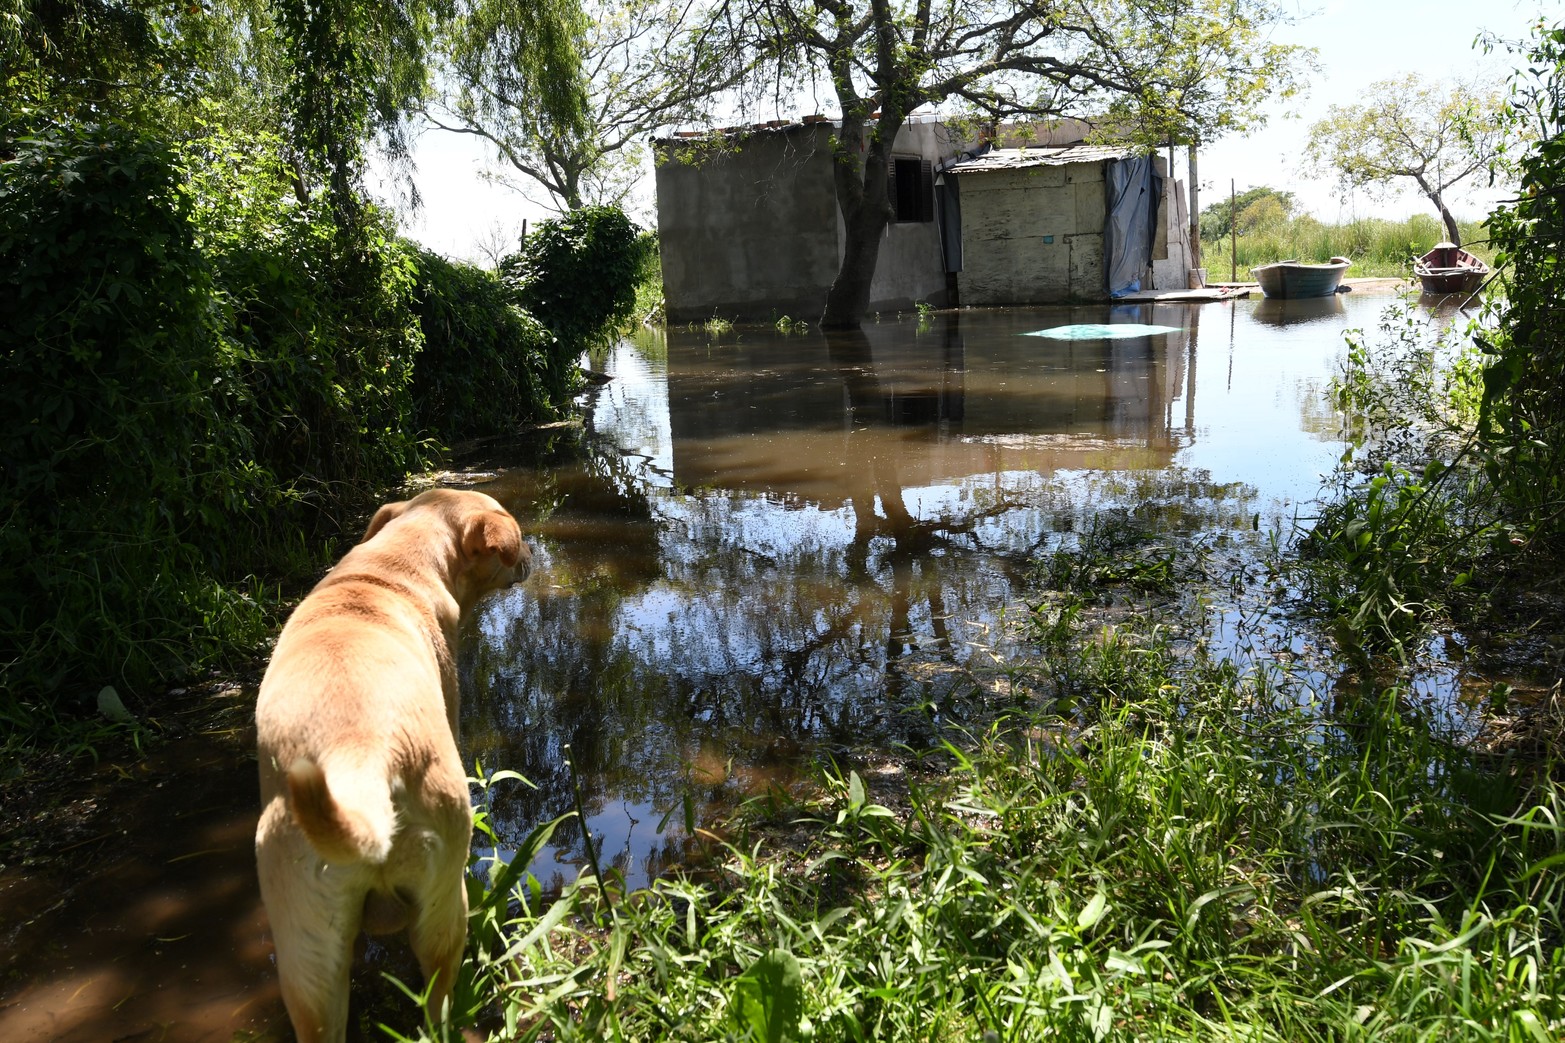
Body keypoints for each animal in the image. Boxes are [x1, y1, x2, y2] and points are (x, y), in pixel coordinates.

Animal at [253, 488, 528, 1039]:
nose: (532, 554)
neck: (392, 566)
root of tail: (358, 762)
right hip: (445, 907)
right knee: (438, 999)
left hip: (305, 956)